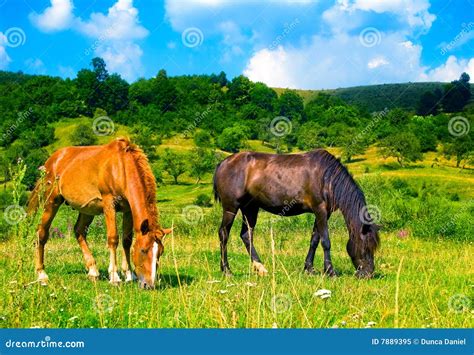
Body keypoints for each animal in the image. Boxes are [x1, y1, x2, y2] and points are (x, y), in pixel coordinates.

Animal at [27, 138, 170, 290]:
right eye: (143, 250)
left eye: (160, 252)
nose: (149, 284)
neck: (121, 167)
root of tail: (51, 161)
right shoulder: (109, 204)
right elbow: (113, 238)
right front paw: (114, 277)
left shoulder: (128, 210)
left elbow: (127, 241)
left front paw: (129, 275)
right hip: (51, 202)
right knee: (41, 233)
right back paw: (42, 275)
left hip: (86, 209)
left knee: (79, 231)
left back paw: (93, 271)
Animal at [215, 149, 382, 280]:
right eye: (366, 246)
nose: (368, 274)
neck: (327, 177)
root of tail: (223, 163)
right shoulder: (320, 209)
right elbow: (325, 241)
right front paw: (330, 272)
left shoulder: (323, 213)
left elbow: (314, 240)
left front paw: (309, 269)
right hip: (231, 208)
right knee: (224, 233)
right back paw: (227, 270)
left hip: (250, 209)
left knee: (246, 235)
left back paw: (260, 268)